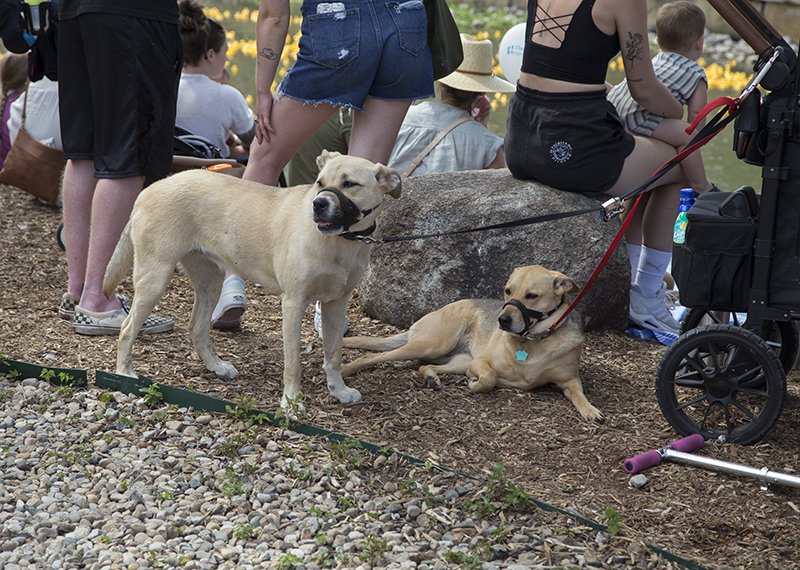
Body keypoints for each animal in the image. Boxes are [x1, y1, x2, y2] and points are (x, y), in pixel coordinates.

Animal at [105, 151, 404, 408]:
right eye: (320, 182)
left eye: (350, 184)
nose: (318, 204)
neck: (340, 243)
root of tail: (152, 187)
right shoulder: (293, 303)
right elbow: (293, 363)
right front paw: (291, 404)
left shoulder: (336, 305)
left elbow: (333, 356)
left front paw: (339, 391)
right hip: (155, 277)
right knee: (128, 329)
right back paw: (125, 374)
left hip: (210, 281)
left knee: (197, 328)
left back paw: (216, 366)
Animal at [342, 264, 600, 420]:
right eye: (507, 290)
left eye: (532, 296)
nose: (502, 320)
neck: (533, 340)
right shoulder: (481, 362)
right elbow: (489, 377)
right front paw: (475, 384)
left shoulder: (569, 379)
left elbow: (578, 394)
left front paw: (590, 410)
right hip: (433, 344)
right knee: (373, 356)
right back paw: (345, 370)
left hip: (458, 360)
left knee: (425, 366)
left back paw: (432, 379)